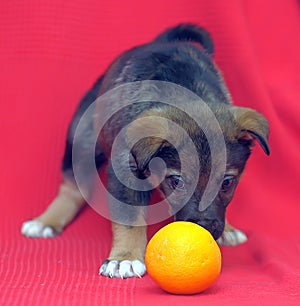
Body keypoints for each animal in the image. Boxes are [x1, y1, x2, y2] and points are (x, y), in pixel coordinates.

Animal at [21, 23, 270, 278]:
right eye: (177, 182)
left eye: (227, 183)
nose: (204, 228)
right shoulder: (125, 171)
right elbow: (129, 219)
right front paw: (125, 258)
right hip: (82, 139)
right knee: (72, 186)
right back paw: (46, 220)